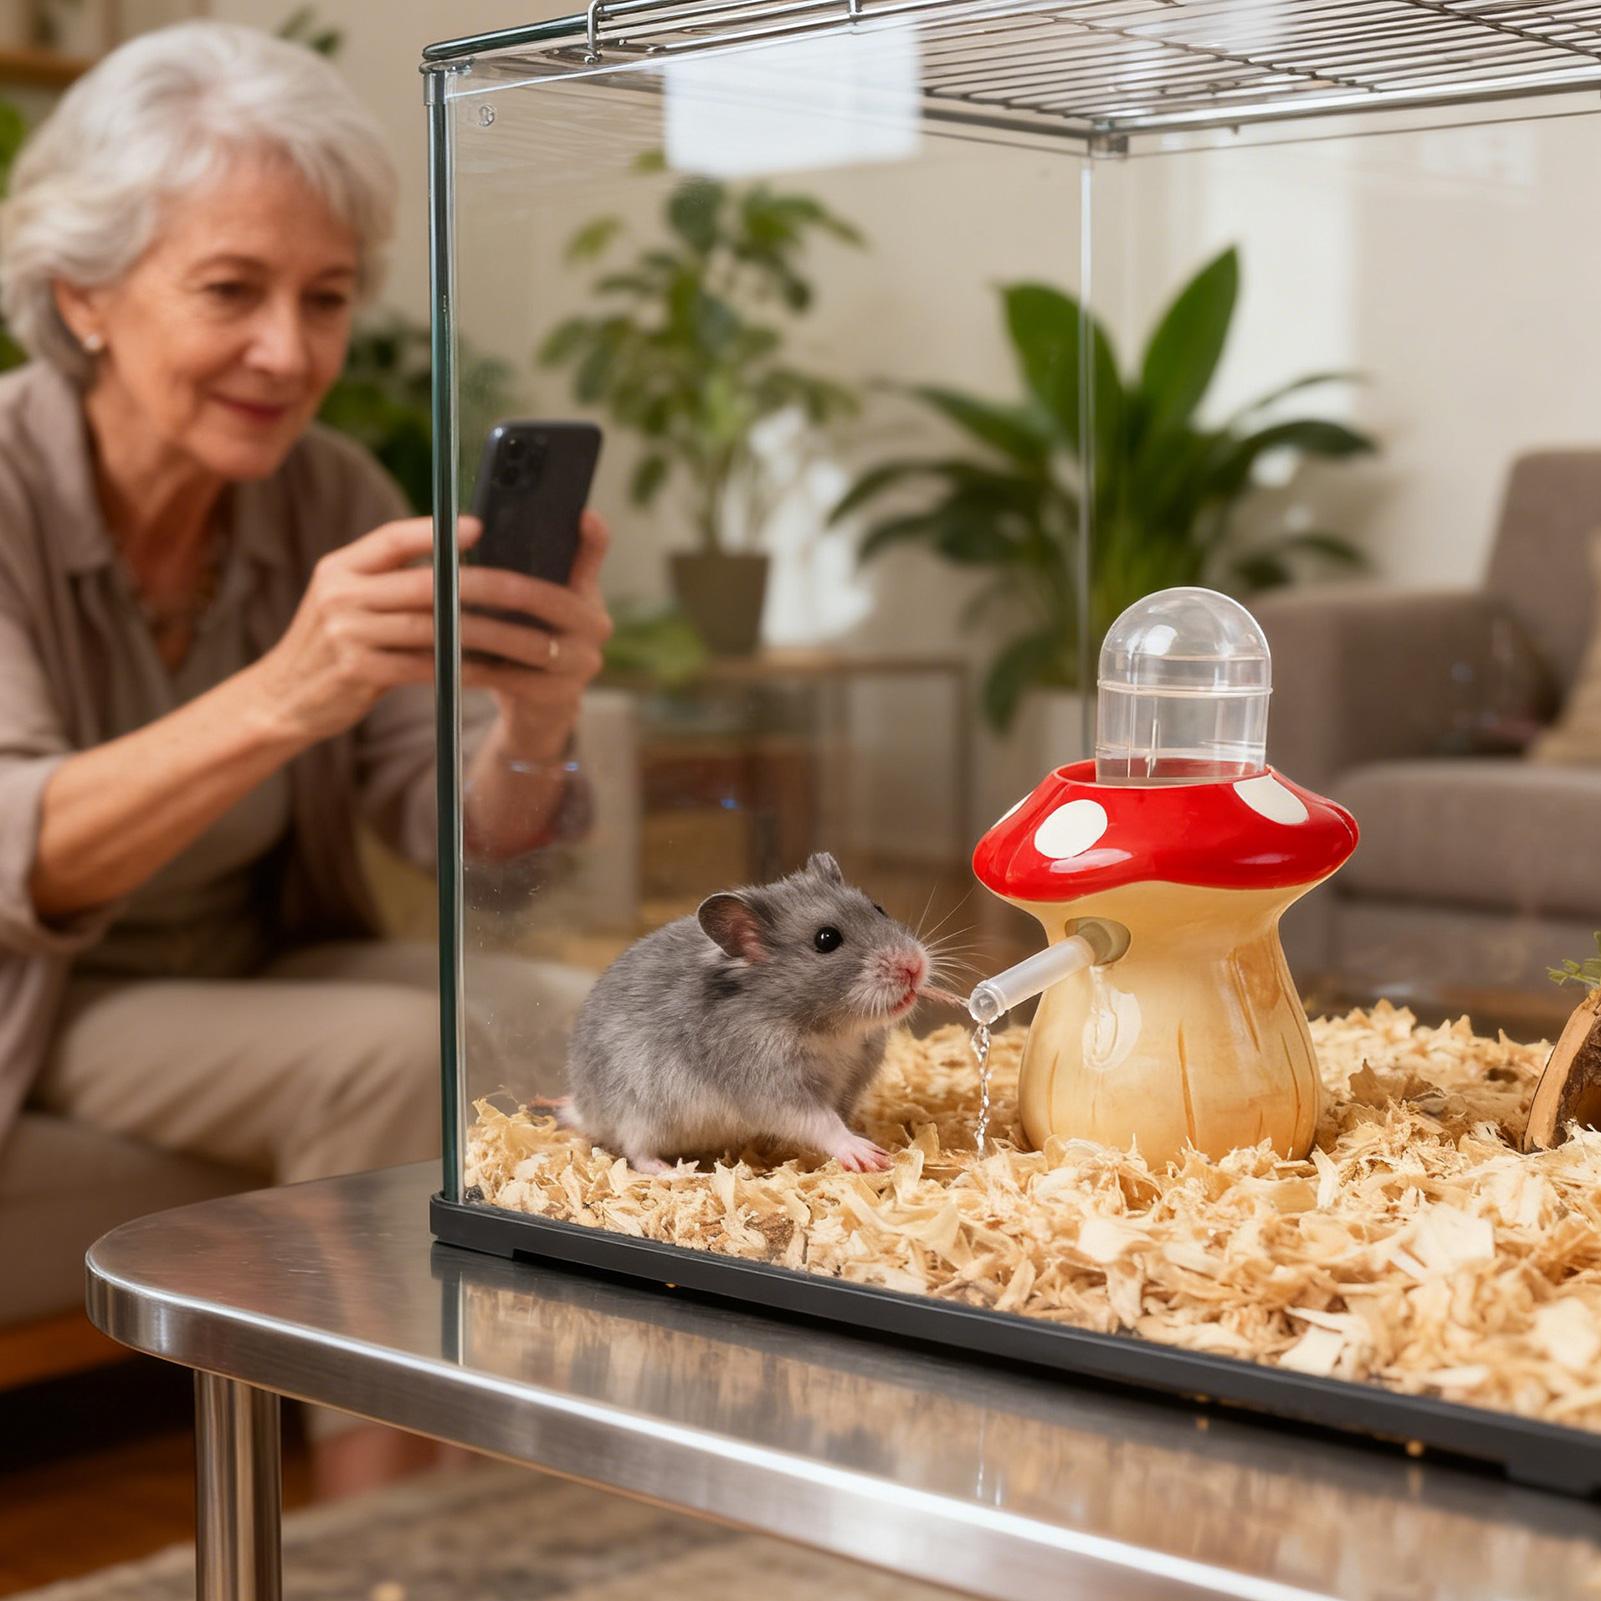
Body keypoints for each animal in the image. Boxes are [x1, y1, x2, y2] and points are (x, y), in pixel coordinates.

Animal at [563, 852, 934, 1175]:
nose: (914, 967)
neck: (832, 1030)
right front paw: (866, 1155)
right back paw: (680, 1174)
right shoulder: (768, 1084)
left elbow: (841, 1116)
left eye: (879, 908)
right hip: (638, 1115)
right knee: (637, 1154)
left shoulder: (851, 1081)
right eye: (826, 939)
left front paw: (868, 1137)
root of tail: (582, 1109)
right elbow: (820, 1122)